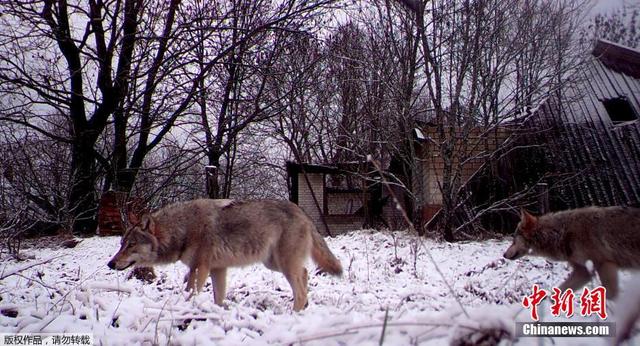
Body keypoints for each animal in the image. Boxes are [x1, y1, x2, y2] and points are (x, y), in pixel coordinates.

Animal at [107, 199, 342, 312]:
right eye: (121, 244)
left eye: (131, 245)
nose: (110, 264)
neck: (183, 229)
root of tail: (303, 212)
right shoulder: (217, 269)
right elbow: (218, 298)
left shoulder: (199, 268)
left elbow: (191, 292)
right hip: (274, 264)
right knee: (305, 273)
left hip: (283, 265)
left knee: (300, 288)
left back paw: (294, 314)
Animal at [502, 205, 640, 298]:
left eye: (514, 239)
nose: (503, 255)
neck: (562, 233)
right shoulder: (583, 272)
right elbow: (557, 293)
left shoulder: (605, 264)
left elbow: (611, 295)